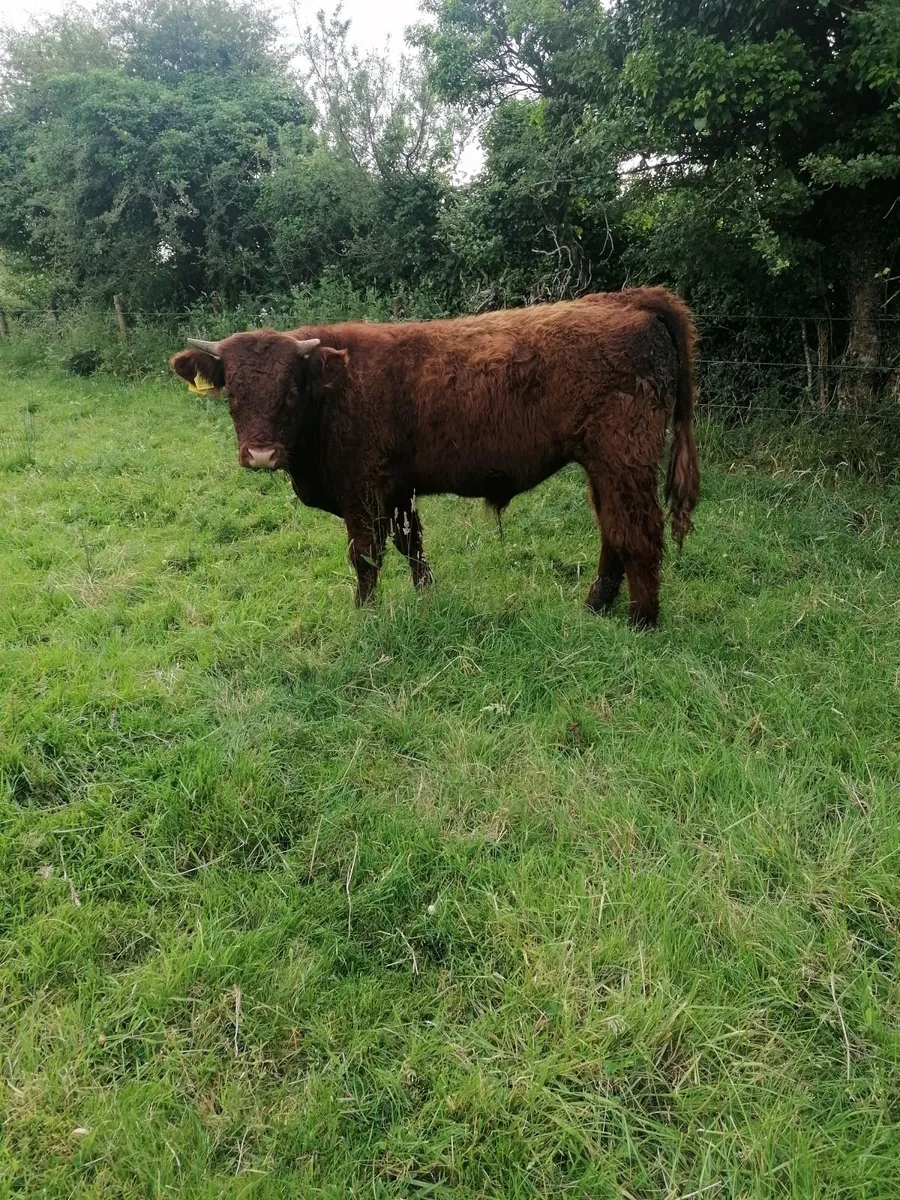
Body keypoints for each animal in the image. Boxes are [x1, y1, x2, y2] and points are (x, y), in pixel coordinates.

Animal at [170, 288, 699, 627]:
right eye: (233, 390)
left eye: (290, 390)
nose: (260, 454)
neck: (333, 387)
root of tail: (625, 299)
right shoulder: (399, 491)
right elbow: (413, 546)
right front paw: (427, 597)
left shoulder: (363, 491)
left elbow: (366, 556)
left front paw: (365, 616)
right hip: (602, 466)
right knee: (614, 531)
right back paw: (595, 606)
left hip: (624, 458)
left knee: (639, 533)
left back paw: (641, 620)